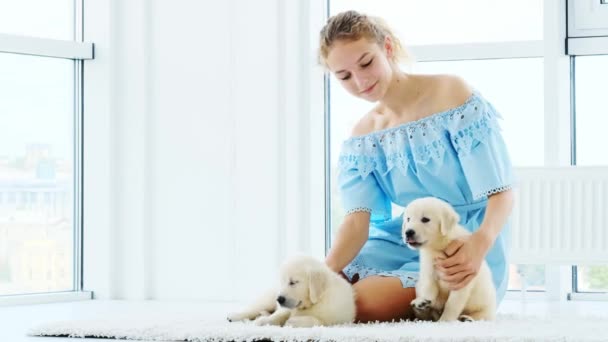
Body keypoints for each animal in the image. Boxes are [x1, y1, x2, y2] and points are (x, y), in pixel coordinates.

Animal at [226, 255, 354, 328]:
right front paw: (264, 321)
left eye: (293, 282)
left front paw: (295, 322)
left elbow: (318, 321)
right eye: (282, 282)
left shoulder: (339, 319)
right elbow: (278, 315)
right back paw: (235, 316)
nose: (279, 299)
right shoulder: (284, 309)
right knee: (252, 309)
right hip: (267, 300)